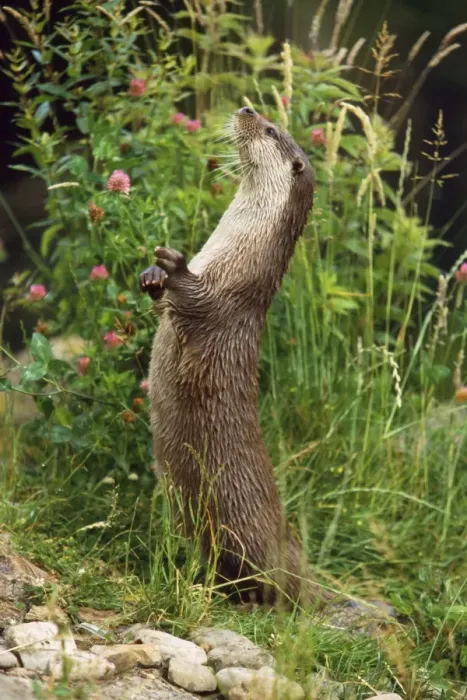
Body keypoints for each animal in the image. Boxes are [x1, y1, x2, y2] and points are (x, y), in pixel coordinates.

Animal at [140, 107, 330, 606]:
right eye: (266, 118)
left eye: (270, 130)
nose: (246, 109)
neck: (229, 259)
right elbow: (160, 302)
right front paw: (152, 276)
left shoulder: (224, 297)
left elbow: (194, 296)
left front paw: (173, 266)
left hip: (242, 528)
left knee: (268, 583)